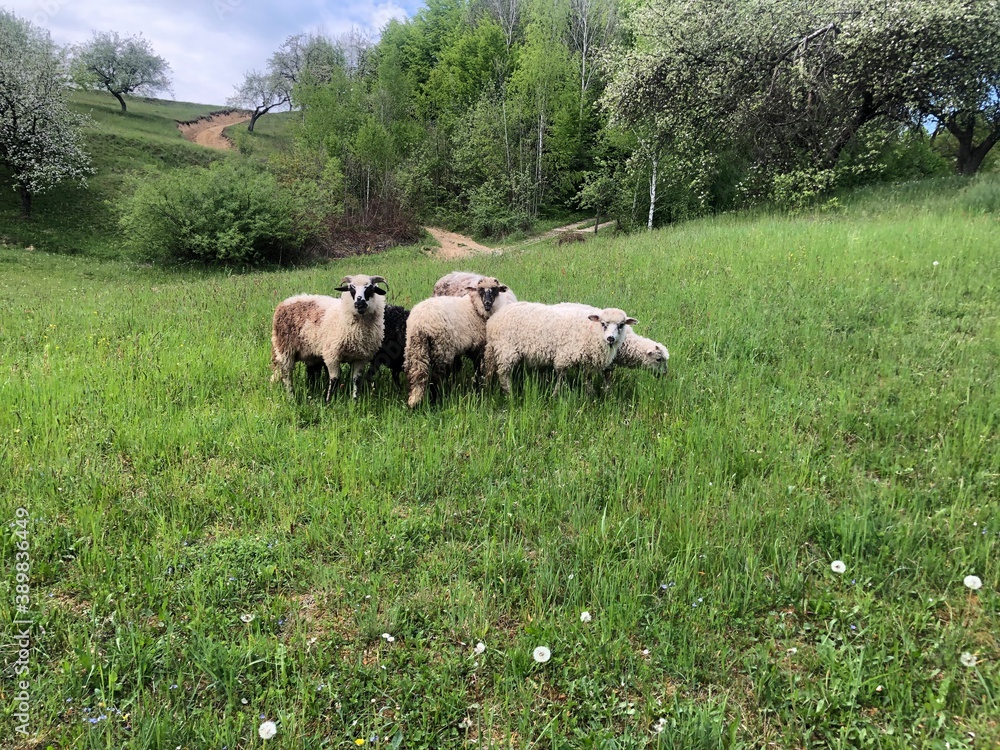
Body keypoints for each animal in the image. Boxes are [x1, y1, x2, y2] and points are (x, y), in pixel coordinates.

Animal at [405, 276, 509, 408]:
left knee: (417, 374)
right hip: (441, 349)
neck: (474, 307)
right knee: (436, 376)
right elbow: (477, 371)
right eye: (480, 290)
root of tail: (421, 324)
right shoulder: (477, 348)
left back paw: (414, 402)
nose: (487, 303)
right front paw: (477, 389)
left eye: (495, 290)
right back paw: (438, 399)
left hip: (416, 347)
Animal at [484, 302, 638, 395]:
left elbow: (586, 378)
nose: (610, 338)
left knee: (490, 368)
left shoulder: (584, 361)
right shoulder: (565, 357)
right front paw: (555, 394)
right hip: (506, 349)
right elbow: (561, 377)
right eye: (603, 324)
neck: (591, 331)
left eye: (621, 325)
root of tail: (494, 318)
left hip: (494, 348)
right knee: (503, 373)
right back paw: (510, 394)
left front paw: (591, 393)